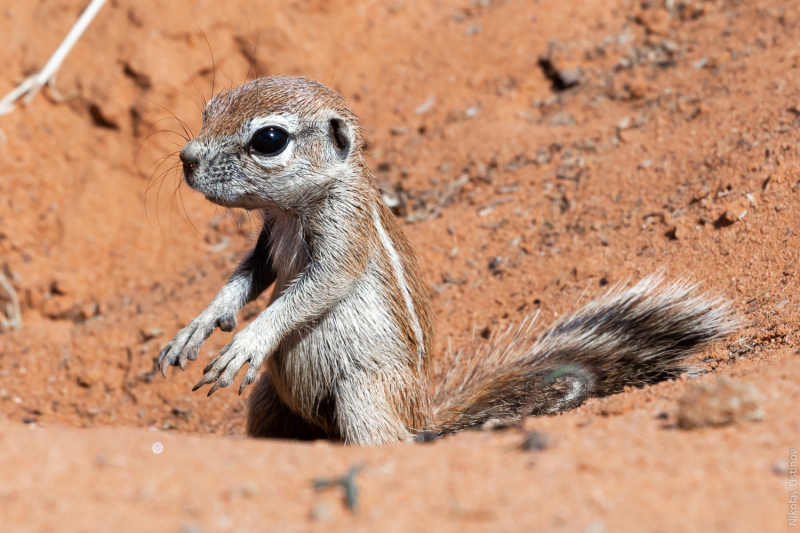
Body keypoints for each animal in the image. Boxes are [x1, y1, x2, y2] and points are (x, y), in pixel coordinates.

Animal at [156, 76, 736, 444]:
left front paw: (248, 341)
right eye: (210, 107)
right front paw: (200, 324)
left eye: (269, 139)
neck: (292, 209)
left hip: (364, 396)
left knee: (390, 442)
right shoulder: (267, 238)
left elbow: (315, 288)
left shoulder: (344, 238)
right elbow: (249, 277)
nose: (186, 160)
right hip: (270, 402)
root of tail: (425, 414)